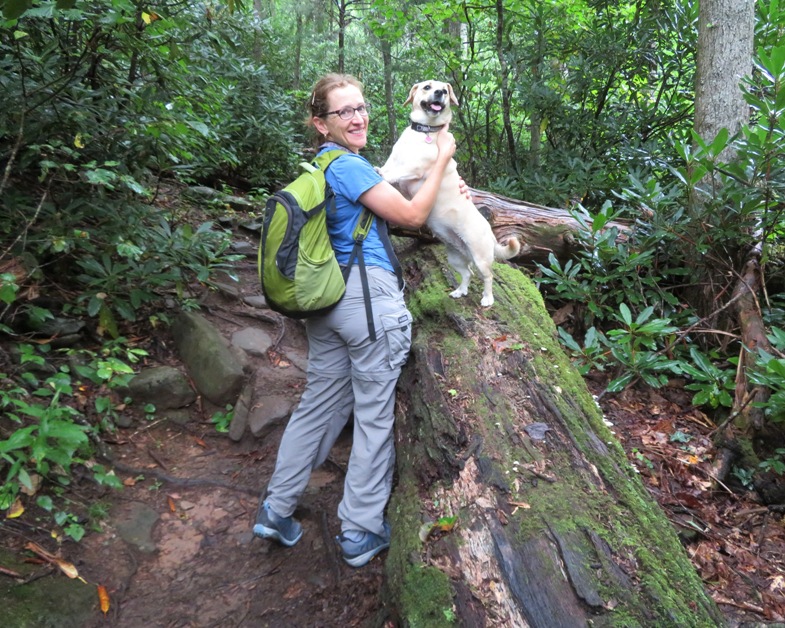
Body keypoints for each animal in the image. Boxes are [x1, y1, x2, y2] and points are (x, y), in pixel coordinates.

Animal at [380, 79, 520, 308]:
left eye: (445, 90)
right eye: (427, 87)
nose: (439, 92)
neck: (423, 132)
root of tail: (490, 232)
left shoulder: (415, 168)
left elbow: (398, 172)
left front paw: (381, 174)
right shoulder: (395, 163)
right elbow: (390, 168)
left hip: (480, 257)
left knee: (487, 276)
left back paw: (487, 298)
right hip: (455, 258)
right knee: (467, 273)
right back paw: (460, 291)